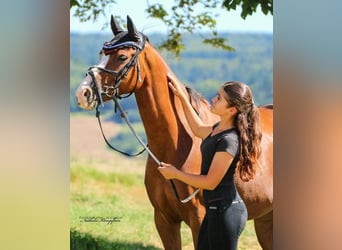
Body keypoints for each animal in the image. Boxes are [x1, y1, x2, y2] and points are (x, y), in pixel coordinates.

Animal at [75, 16, 272, 250]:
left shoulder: (198, 220)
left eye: (122, 56)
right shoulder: (163, 219)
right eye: (101, 53)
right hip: (265, 220)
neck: (176, 145)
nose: (83, 93)